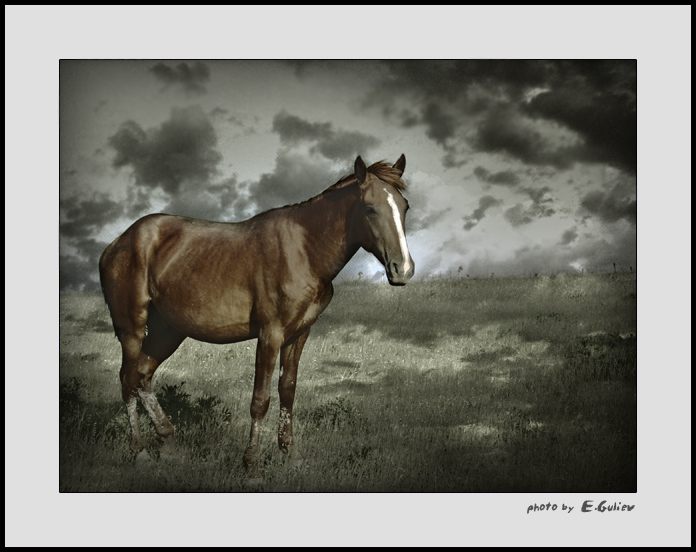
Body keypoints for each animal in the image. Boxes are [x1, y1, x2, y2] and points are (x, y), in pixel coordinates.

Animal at [98, 153, 414, 480]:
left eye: (404, 207)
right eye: (370, 208)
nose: (402, 269)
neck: (304, 250)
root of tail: (119, 242)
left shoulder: (299, 334)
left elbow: (287, 391)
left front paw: (292, 456)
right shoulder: (270, 334)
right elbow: (260, 400)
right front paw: (252, 467)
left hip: (168, 330)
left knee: (143, 376)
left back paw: (170, 443)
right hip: (132, 327)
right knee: (129, 380)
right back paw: (141, 453)